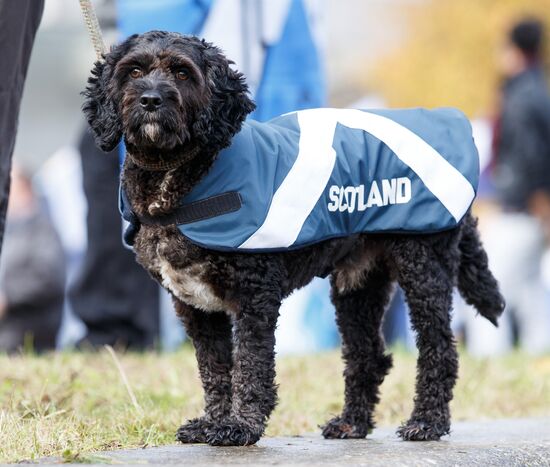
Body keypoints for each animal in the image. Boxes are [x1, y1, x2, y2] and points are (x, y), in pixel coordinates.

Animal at [81, 31, 504, 448]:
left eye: (183, 73)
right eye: (134, 71)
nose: (151, 99)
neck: (184, 175)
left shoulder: (255, 294)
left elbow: (250, 365)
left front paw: (241, 426)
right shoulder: (195, 305)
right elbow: (215, 368)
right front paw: (214, 422)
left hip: (423, 264)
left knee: (439, 347)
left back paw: (427, 422)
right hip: (357, 283)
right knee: (367, 354)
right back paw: (352, 423)